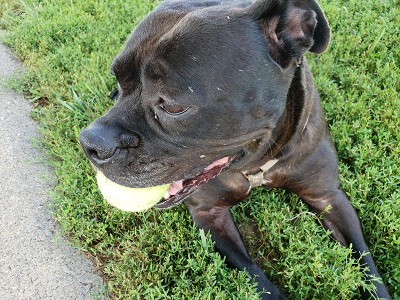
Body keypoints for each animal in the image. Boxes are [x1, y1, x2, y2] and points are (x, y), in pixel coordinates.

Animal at [78, 0, 390, 298]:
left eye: (173, 105)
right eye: (118, 79)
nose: (90, 143)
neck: (258, 164)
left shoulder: (327, 196)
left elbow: (368, 267)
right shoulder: (209, 213)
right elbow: (255, 276)